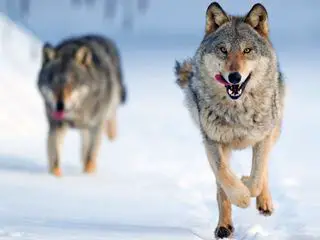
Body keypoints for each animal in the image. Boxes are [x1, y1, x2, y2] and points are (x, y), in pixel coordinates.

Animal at [37, 33, 126, 176]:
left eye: (71, 85)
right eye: (53, 84)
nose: (60, 106)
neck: (76, 114)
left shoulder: (96, 127)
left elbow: (90, 157)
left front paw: (87, 177)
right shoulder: (56, 126)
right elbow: (55, 158)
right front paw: (55, 177)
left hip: (107, 114)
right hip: (84, 130)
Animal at [175, 2, 284, 240]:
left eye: (247, 50)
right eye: (223, 50)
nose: (234, 77)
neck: (238, 111)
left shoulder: (263, 138)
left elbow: (256, 178)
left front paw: (247, 186)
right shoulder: (212, 142)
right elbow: (225, 178)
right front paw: (241, 196)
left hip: (275, 129)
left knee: (264, 170)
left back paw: (264, 203)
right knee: (220, 187)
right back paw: (224, 227)